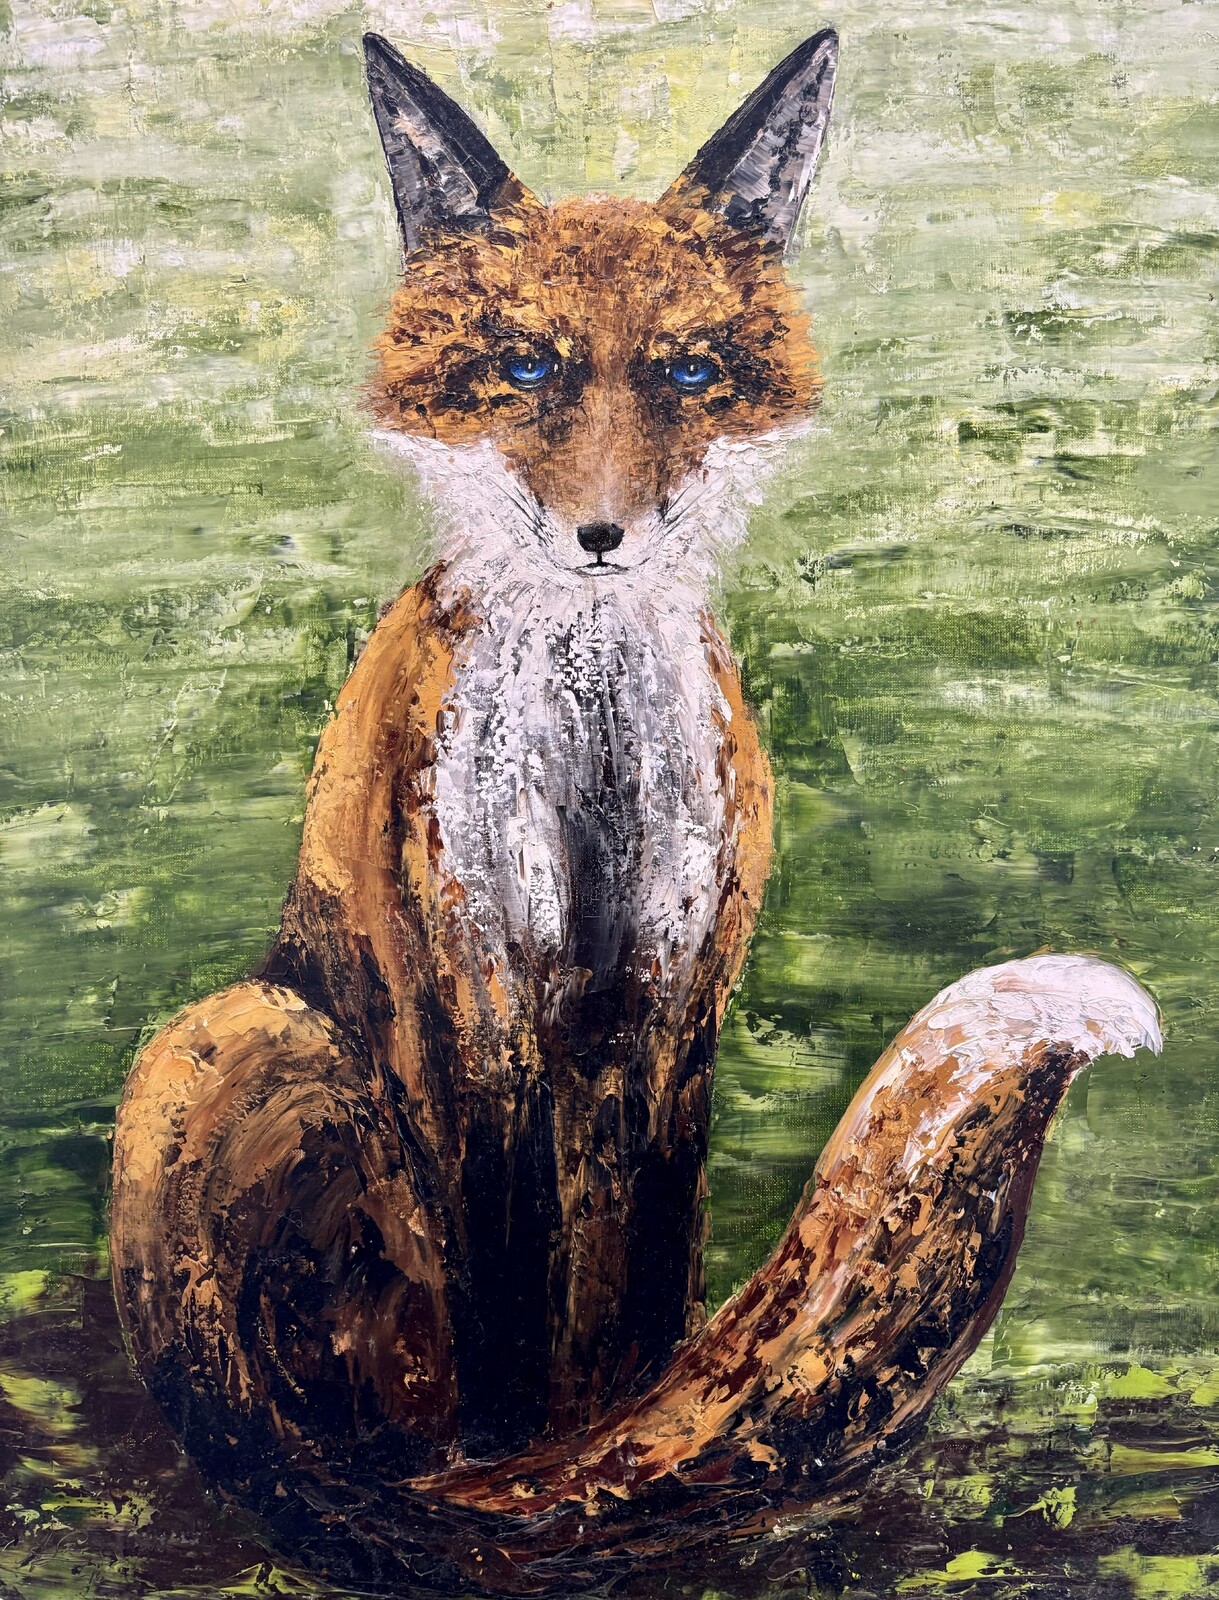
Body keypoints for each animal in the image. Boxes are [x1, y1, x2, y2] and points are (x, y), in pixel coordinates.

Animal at [109, 29, 1162, 1596]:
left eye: (688, 371)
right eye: (525, 365)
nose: (601, 535)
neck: (594, 755)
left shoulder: (676, 992)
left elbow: (651, 1293)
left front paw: (621, 1448)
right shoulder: (482, 985)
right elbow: (503, 1273)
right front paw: (519, 1473)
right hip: (240, 1036)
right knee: (296, 1429)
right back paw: (380, 1487)